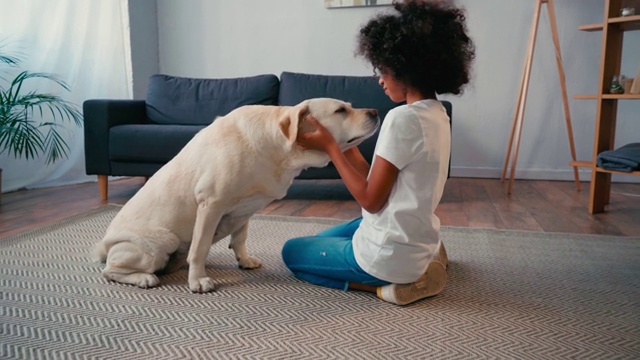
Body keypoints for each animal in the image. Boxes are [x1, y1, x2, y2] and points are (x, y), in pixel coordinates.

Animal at [92, 97, 378, 292]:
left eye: (349, 106)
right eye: (340, 110)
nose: (375, 111)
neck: (281, 148)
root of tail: (104, 244)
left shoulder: (246, 208)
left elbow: (240, 237)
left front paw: (244, 260)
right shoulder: (210, 203)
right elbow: (200, 247)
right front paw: (198, 280)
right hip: (162, 240)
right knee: (110, 270)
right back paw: (144, 277)